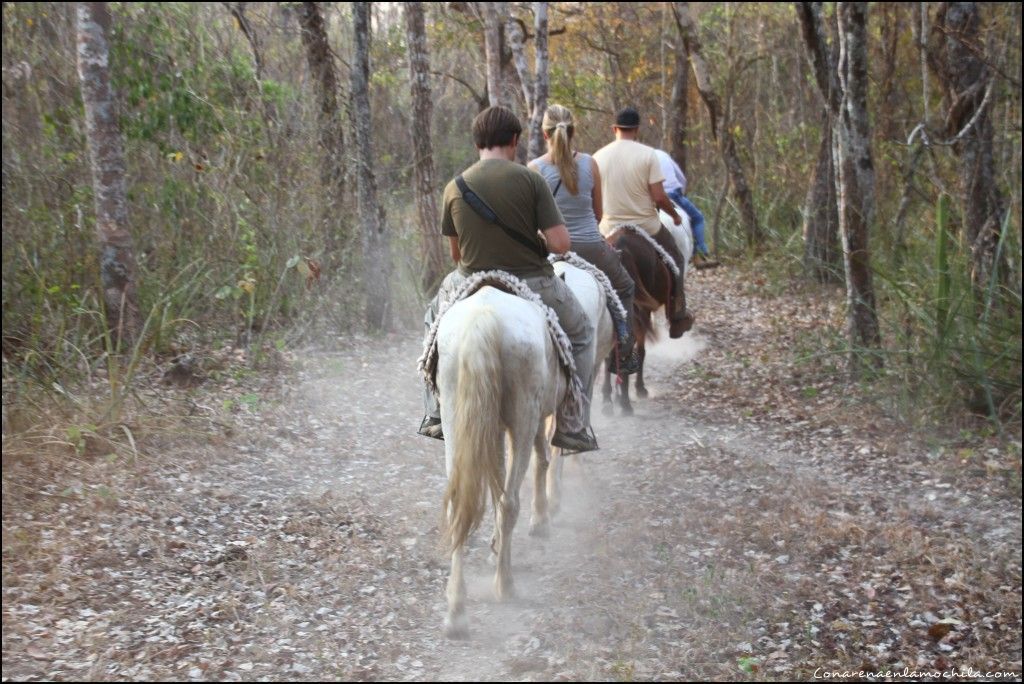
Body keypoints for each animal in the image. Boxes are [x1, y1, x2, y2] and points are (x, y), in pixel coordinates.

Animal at [438, 282, 569, 634]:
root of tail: (484, 318)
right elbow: (542, 459)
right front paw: (541, 520)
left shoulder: (491, 427)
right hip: (523, 415)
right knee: (509, 501)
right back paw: (505, 586)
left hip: (455, 418)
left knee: (461, 506)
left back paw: (456, 612)